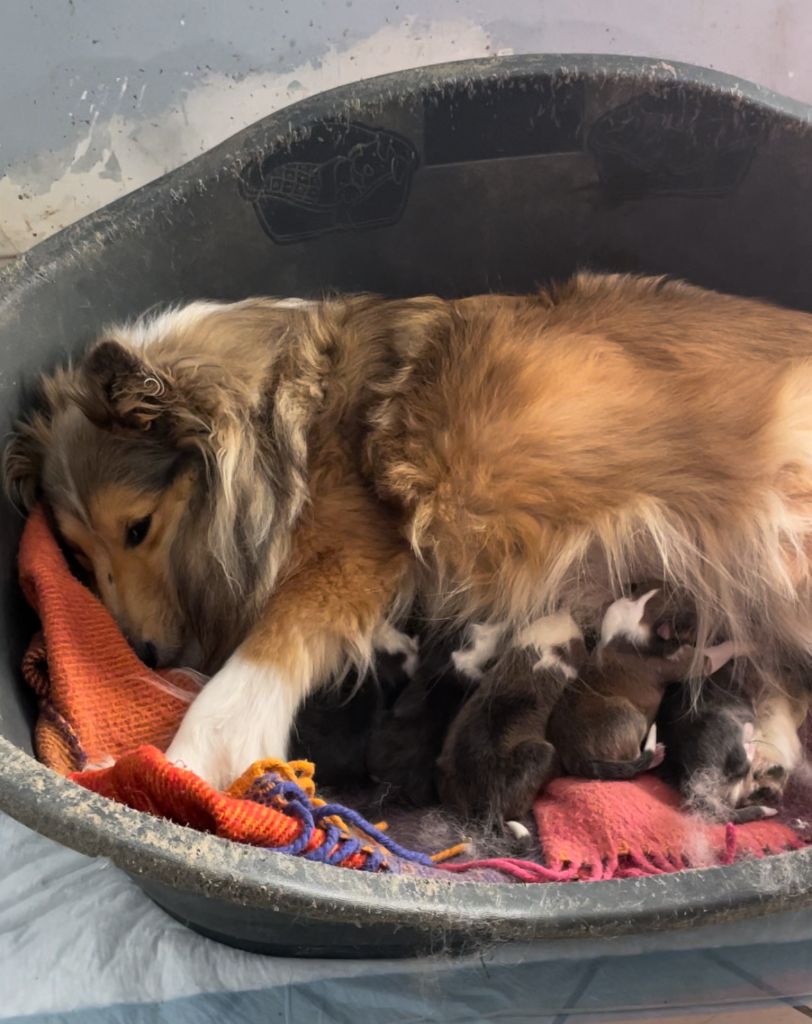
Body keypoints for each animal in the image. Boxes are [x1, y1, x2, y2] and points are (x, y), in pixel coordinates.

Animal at [548, 589, 733, 778]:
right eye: (691, 626)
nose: (718, 617)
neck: (641, 614)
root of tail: (579, 760)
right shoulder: (690, 661)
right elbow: (720, 651)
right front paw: (738, 643)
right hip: (631, 718)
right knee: (638, 760)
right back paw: (656, 756)